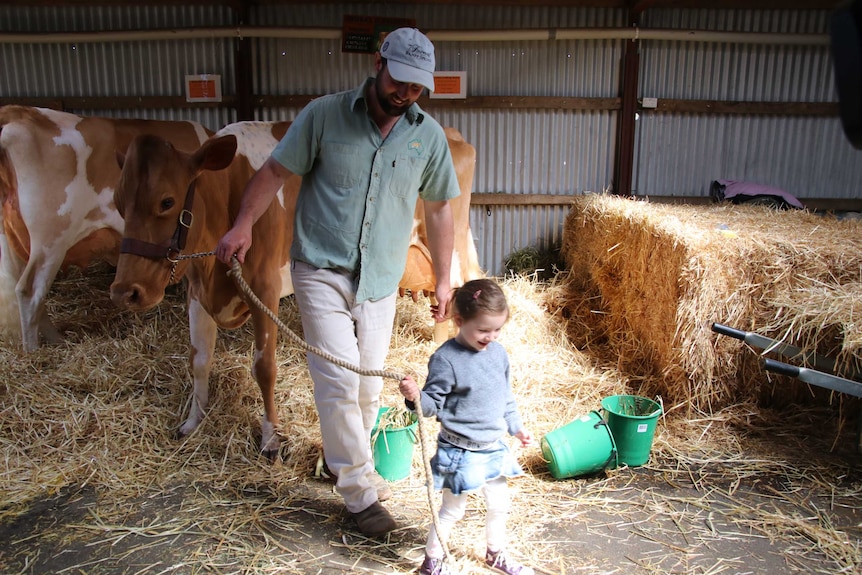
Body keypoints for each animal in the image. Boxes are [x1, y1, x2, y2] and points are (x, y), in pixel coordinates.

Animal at [0, 106, 213, 354]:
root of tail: (19, 112)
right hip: (51, 239)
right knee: (30, 292)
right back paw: (34, 351)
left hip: (15, 242)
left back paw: (56, 341)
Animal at [109, 122, 480, 460]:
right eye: (118, 203)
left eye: (167, 201)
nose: (125, 292)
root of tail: (450, 133)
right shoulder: (197, 292)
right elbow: (199, 359)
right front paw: (193, 421)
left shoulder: (264, 287)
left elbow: (264, 367)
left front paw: (270, 438)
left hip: (451, 246)